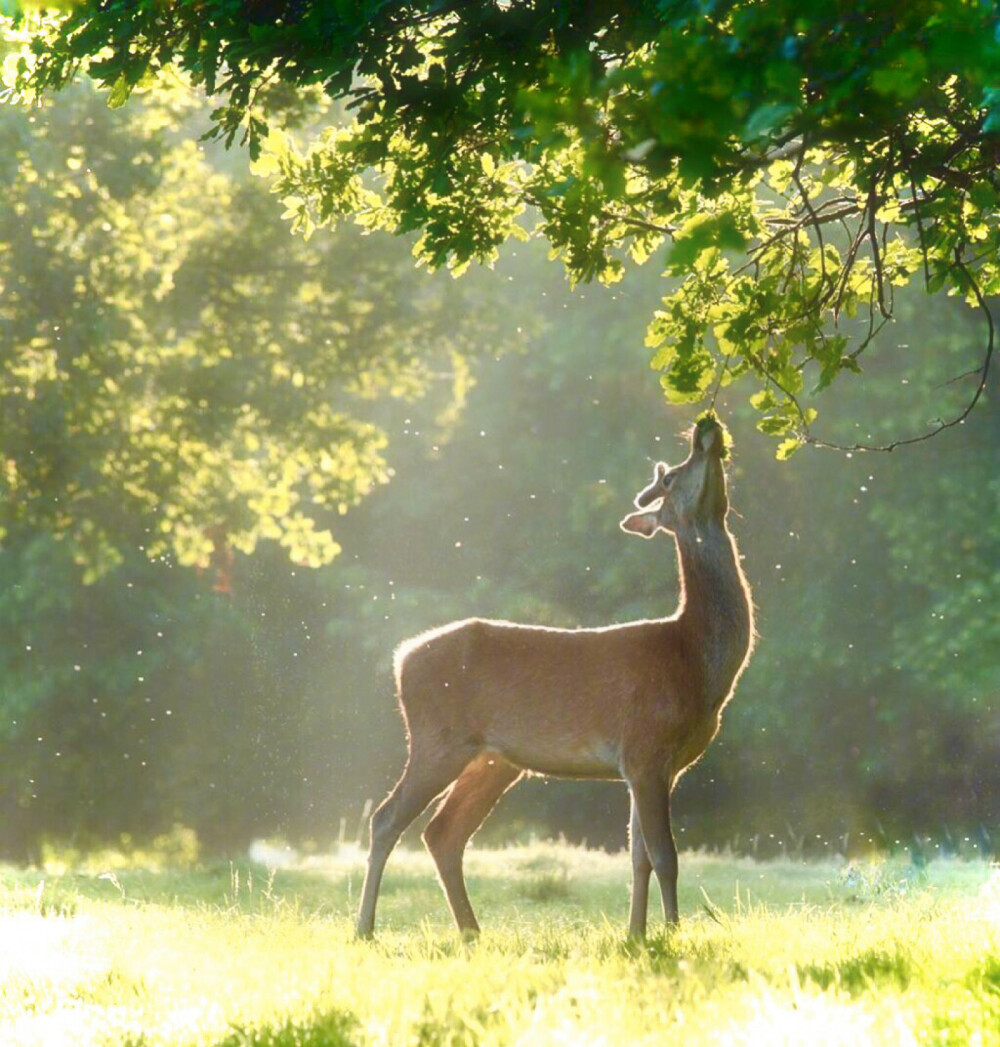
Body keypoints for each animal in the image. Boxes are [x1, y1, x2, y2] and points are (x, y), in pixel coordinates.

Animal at [356, 414, 753, 942]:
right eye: (671, 477)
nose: (705, 428)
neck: (695, 663)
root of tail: (401, 659)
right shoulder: (645, 747)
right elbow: (666, 856)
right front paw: (672, 933)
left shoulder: (652, 765)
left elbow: (639, 857)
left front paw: (636, 934)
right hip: (437, 738)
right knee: (386, 819)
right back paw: (365, 928)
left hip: (493, 759)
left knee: (442, 833)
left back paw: (472, 932)